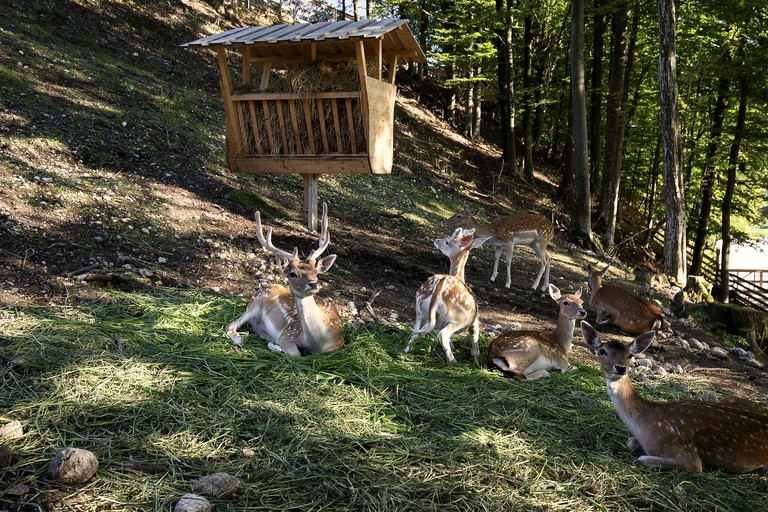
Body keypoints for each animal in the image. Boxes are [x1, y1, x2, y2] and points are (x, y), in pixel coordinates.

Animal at [222, 203, 342, 356]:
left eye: (316, 273)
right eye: (292, 274)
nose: (313, 285)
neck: (320, 342)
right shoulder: (288, 334)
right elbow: (296, 354)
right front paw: (274, 345)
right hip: (255, 305)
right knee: (231, 325)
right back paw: (242, 340)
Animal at [404, 228, 488, 364]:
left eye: (447, 241)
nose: (436, 240)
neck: (460, 277)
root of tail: (438, 289)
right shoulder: (474, 319)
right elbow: (474, 333)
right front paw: (476, 354)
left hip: (420, 311)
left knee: (416, 332)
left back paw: (406, 350)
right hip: (459, 318)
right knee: (443, 335)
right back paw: (453, 361)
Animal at [584, 322, 768, 474]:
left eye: (629, 355)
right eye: (602, 351)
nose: (620, 368)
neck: (646, 426)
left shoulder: (688, 457)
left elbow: (642, 459)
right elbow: (630, 442)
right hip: (729, 398)